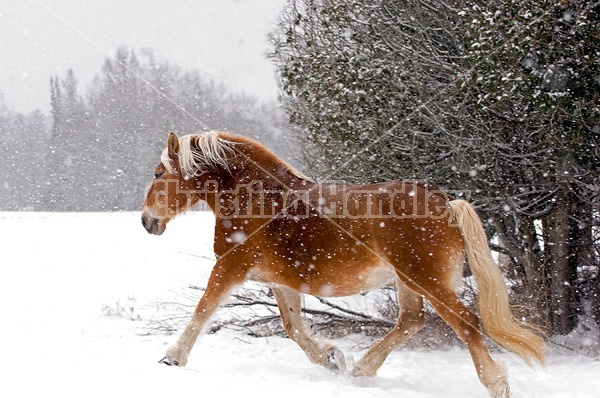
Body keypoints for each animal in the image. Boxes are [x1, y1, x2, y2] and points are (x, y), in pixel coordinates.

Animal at [143, 131, 548, 398]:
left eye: (159, 174)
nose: (147, 221)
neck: (260, 200)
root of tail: (447, 203)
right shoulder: (280, 281)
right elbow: (294, 328)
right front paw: (332, 358)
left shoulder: (230, 267)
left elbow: (203, 310)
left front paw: (171, 358)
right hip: (407, 281)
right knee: (411, 321)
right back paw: (362, 368)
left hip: (426, 279)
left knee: (467, 324)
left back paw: (496, 384)